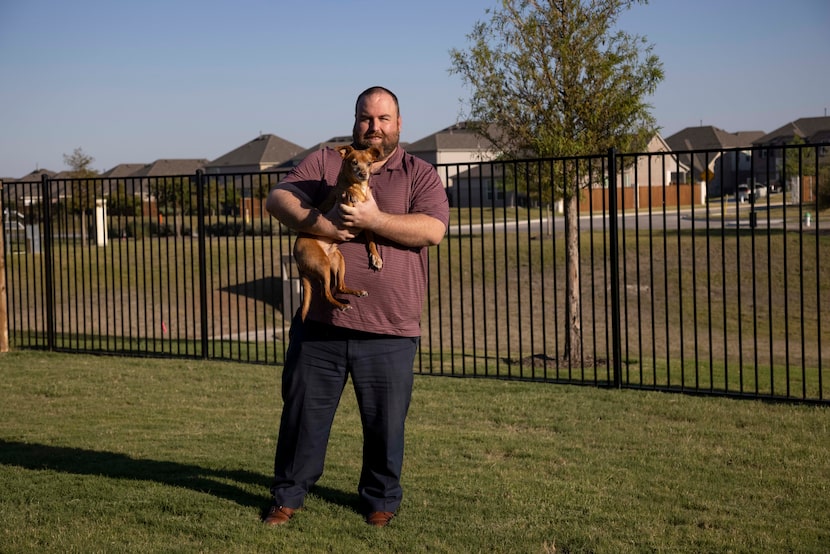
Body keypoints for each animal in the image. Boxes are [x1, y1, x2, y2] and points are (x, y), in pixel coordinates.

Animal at [292, 144, 384, 322]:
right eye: (354, 163)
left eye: (369, 163)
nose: (363, 174)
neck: (359, 187)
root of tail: (295, 255)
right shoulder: (345, 206)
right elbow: (346, 192)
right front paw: (350, 192)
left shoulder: (367, 222)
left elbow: (371, 241)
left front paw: (375, 257)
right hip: (322, 264)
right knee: (325, 293)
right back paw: (341, 306)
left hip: (338, 260)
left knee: (340, 287)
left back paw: (356, 293)